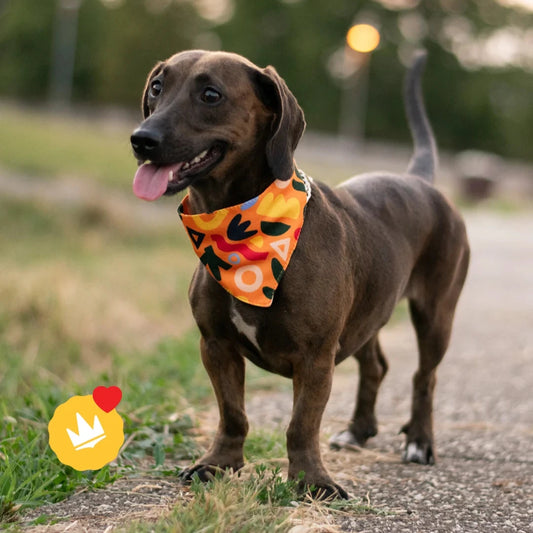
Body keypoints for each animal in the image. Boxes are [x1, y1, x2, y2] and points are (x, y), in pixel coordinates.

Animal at [131, 50, 468, 498]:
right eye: (157, 87)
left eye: (211, 94)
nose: (141, 139)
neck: (243, 232)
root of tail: (418, 179)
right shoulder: (216, 346)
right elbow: (233, 414)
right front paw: (218, 464)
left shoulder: (315, 357)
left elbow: (302, 424)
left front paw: (311, 481)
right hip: (367, 314)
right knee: (376, 366)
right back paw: (358, 431)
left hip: (436, 315)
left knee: (424, 378)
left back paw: (419, 441)